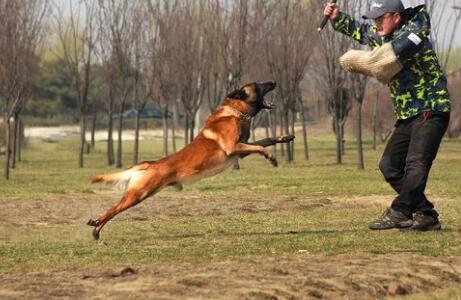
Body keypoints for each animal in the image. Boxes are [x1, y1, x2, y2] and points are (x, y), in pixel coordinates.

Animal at [88, 81, 292, 240]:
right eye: (257, 85)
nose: (274, 81)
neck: (236, 112)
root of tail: (149, 164)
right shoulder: (233, 148)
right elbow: (261, 147)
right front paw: (272, 158)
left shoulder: (240, 151)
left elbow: (266, 141)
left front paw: (284, 137)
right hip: (139, 194)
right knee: (113, 209)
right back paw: (96, 223)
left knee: (114, 210)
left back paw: (96, 229)